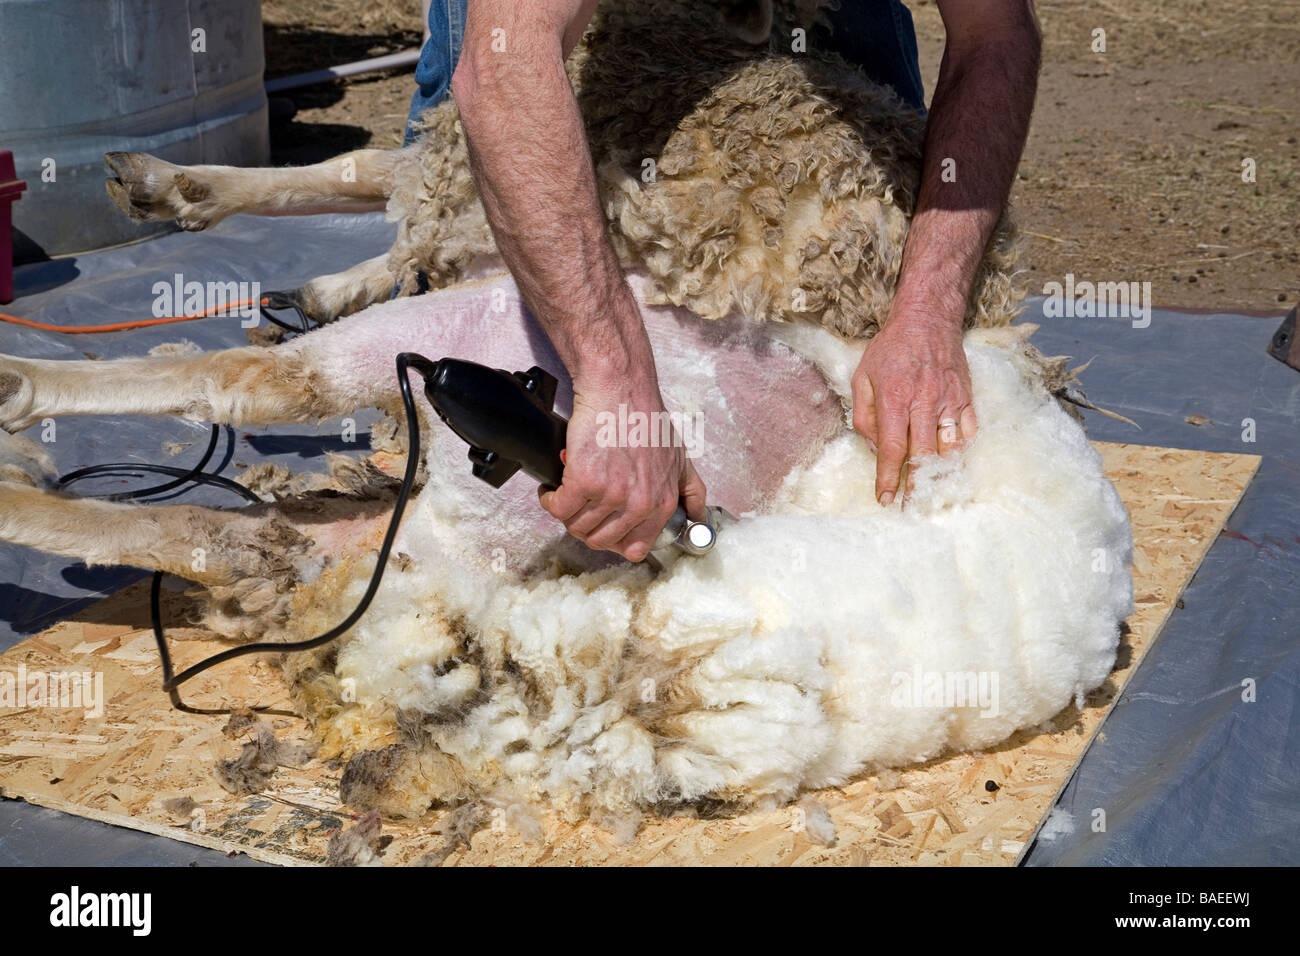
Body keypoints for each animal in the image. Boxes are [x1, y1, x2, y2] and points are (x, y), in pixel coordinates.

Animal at [0, 0, 1134, 829]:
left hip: (488, 334)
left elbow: (372, 177)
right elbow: (374, 172)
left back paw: (32, 388)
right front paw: (212, 208)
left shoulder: (474, 179)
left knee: (258, 380)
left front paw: (196, 200)